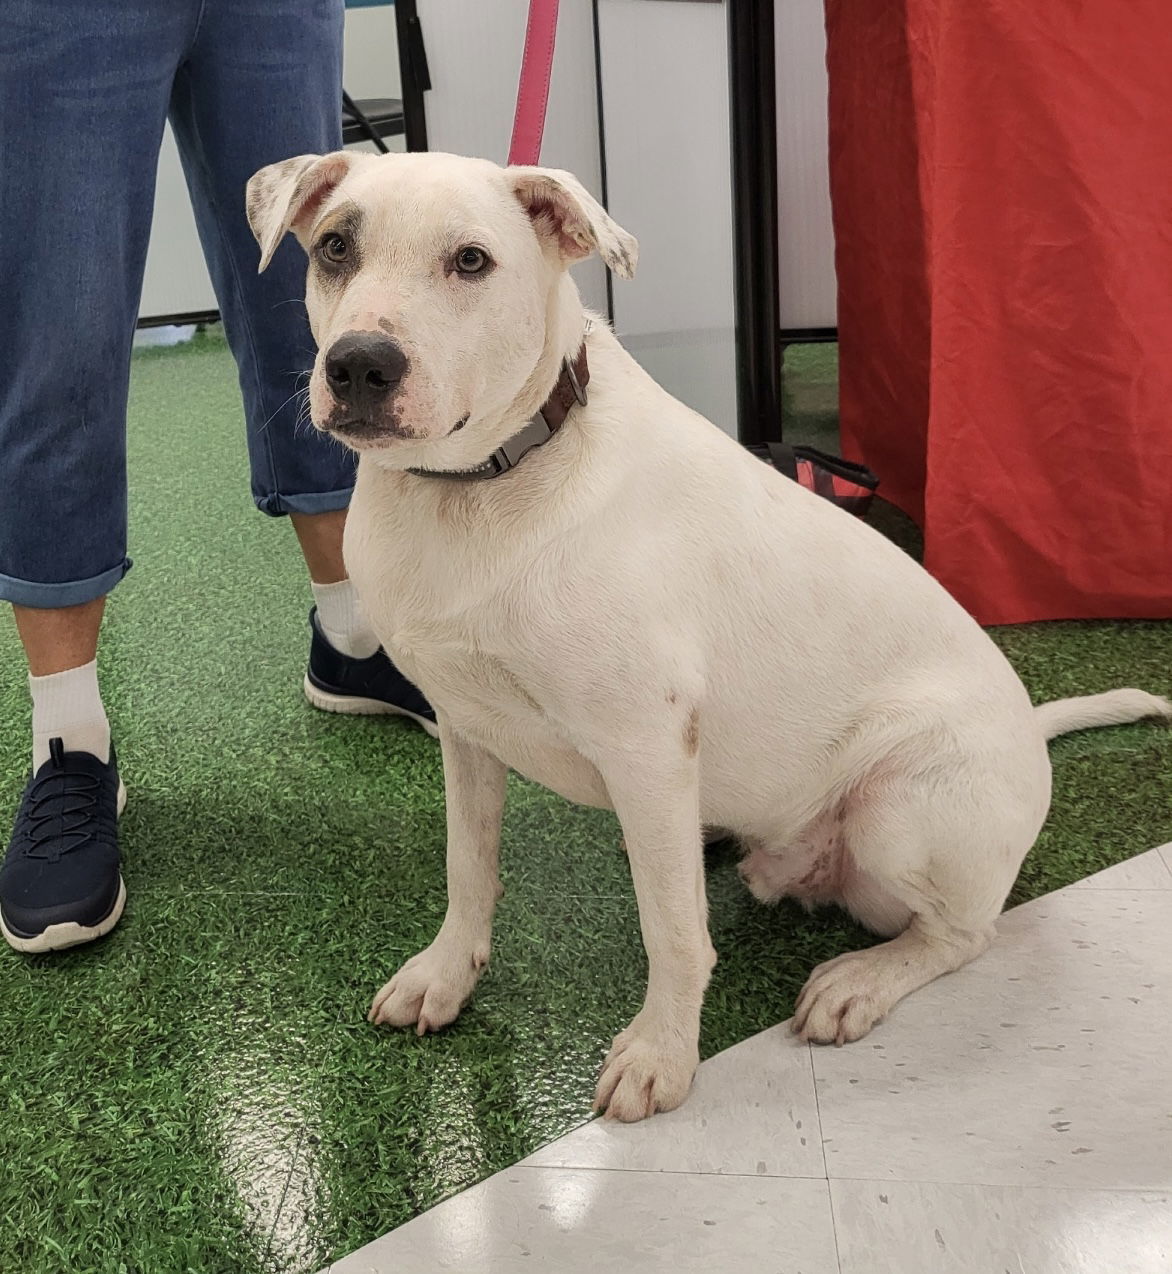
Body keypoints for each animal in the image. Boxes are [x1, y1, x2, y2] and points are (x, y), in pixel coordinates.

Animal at [244, 151, 1161, 1126]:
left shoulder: (645, 744)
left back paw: (859, 982)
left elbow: (674, 929)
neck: (480, 489)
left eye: (471, 261)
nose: (359, 364)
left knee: (965, 932)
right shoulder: (466, 730)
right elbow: (469, 866)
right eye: (335, 247)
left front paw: (661, 1054)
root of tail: (1031, 729)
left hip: (897, 814)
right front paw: (446, 975)